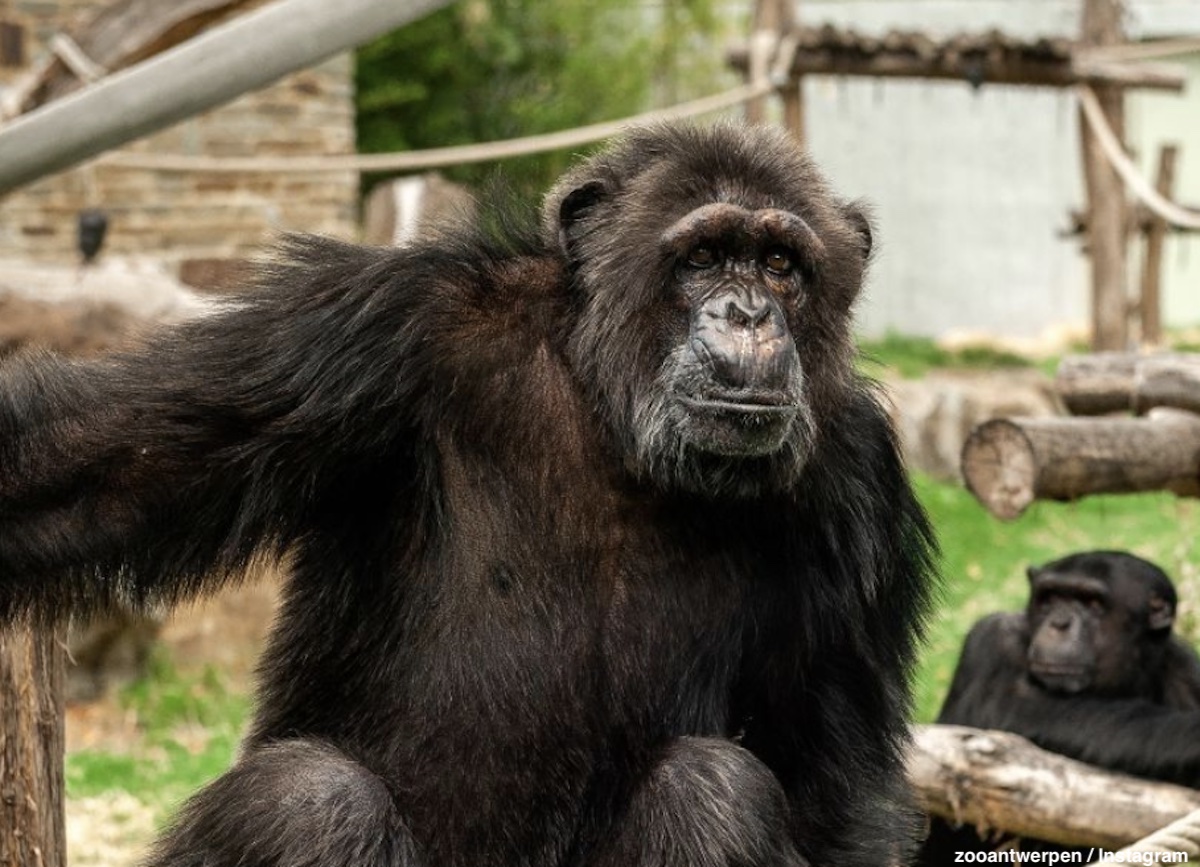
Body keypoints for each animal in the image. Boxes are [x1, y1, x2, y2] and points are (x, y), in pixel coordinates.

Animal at [0, 121, 936, 864]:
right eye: (703, 257)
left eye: (780, 264)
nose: (747, 313)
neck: (611, 415)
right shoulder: (373, 328)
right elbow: (100, 469)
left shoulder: (856, 479)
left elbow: (833, 790)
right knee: (309, 802)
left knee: (715, 793)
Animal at [916, 549, 1200, 859]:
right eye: (1049, 598)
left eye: (1092, 604)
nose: (1060, 622)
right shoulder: (993, 638)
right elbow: (1007, 709)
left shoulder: (1187, 674)